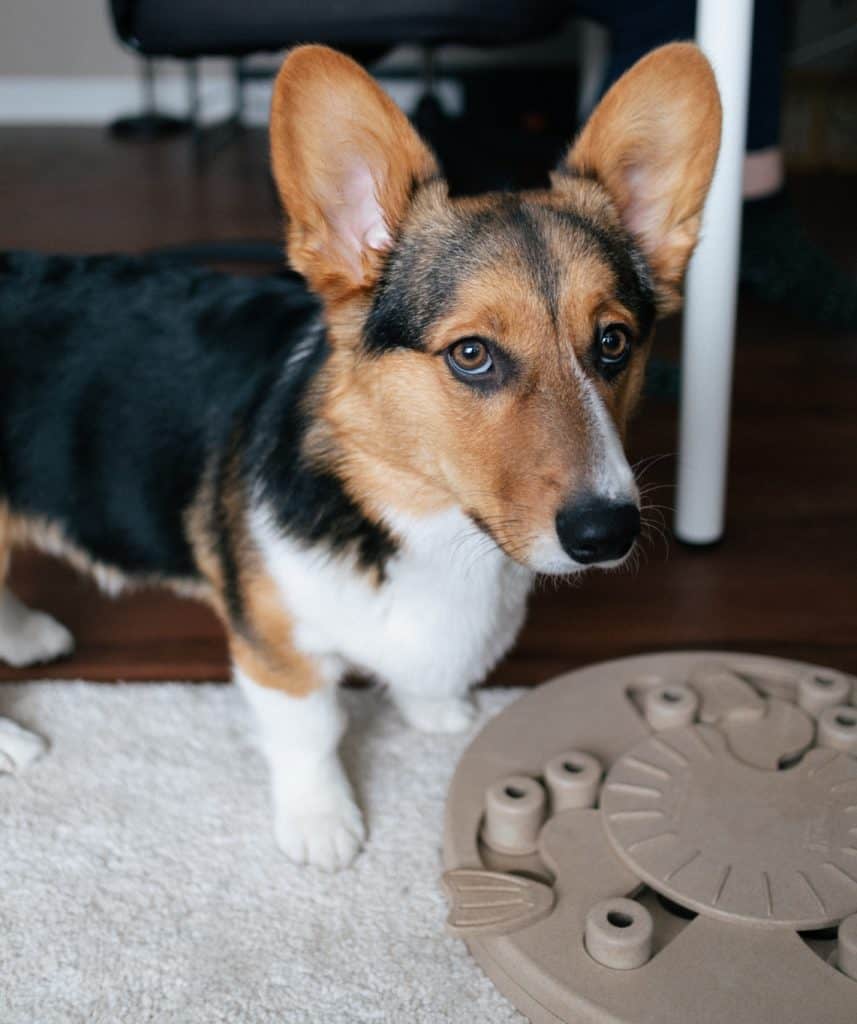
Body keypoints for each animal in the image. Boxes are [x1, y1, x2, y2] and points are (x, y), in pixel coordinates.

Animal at [0, 44, 720, 868]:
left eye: (613, 342)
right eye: (470, 354)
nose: (607, 533)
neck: (415, 512)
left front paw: (437, 710)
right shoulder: (276, 648)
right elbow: (312, 731)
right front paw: (323, 824)